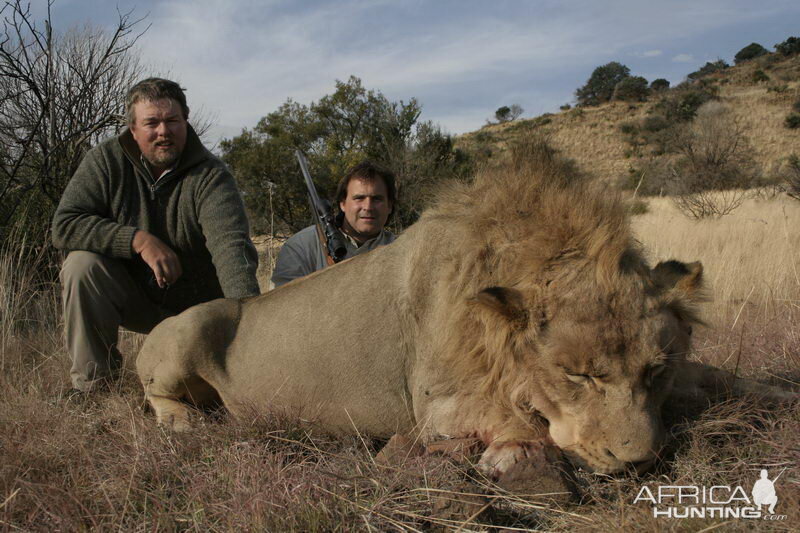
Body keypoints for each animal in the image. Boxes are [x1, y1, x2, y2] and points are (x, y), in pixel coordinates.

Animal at [136, 148, 792, 476]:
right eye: (576, 375)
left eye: (653, 372)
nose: (636, 461)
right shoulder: (436, 406)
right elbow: (517, 422)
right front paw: (513, 454)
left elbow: (720, 377)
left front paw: (781, 393)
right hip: (189, 328)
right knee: (158, 395)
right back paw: (190, 424)